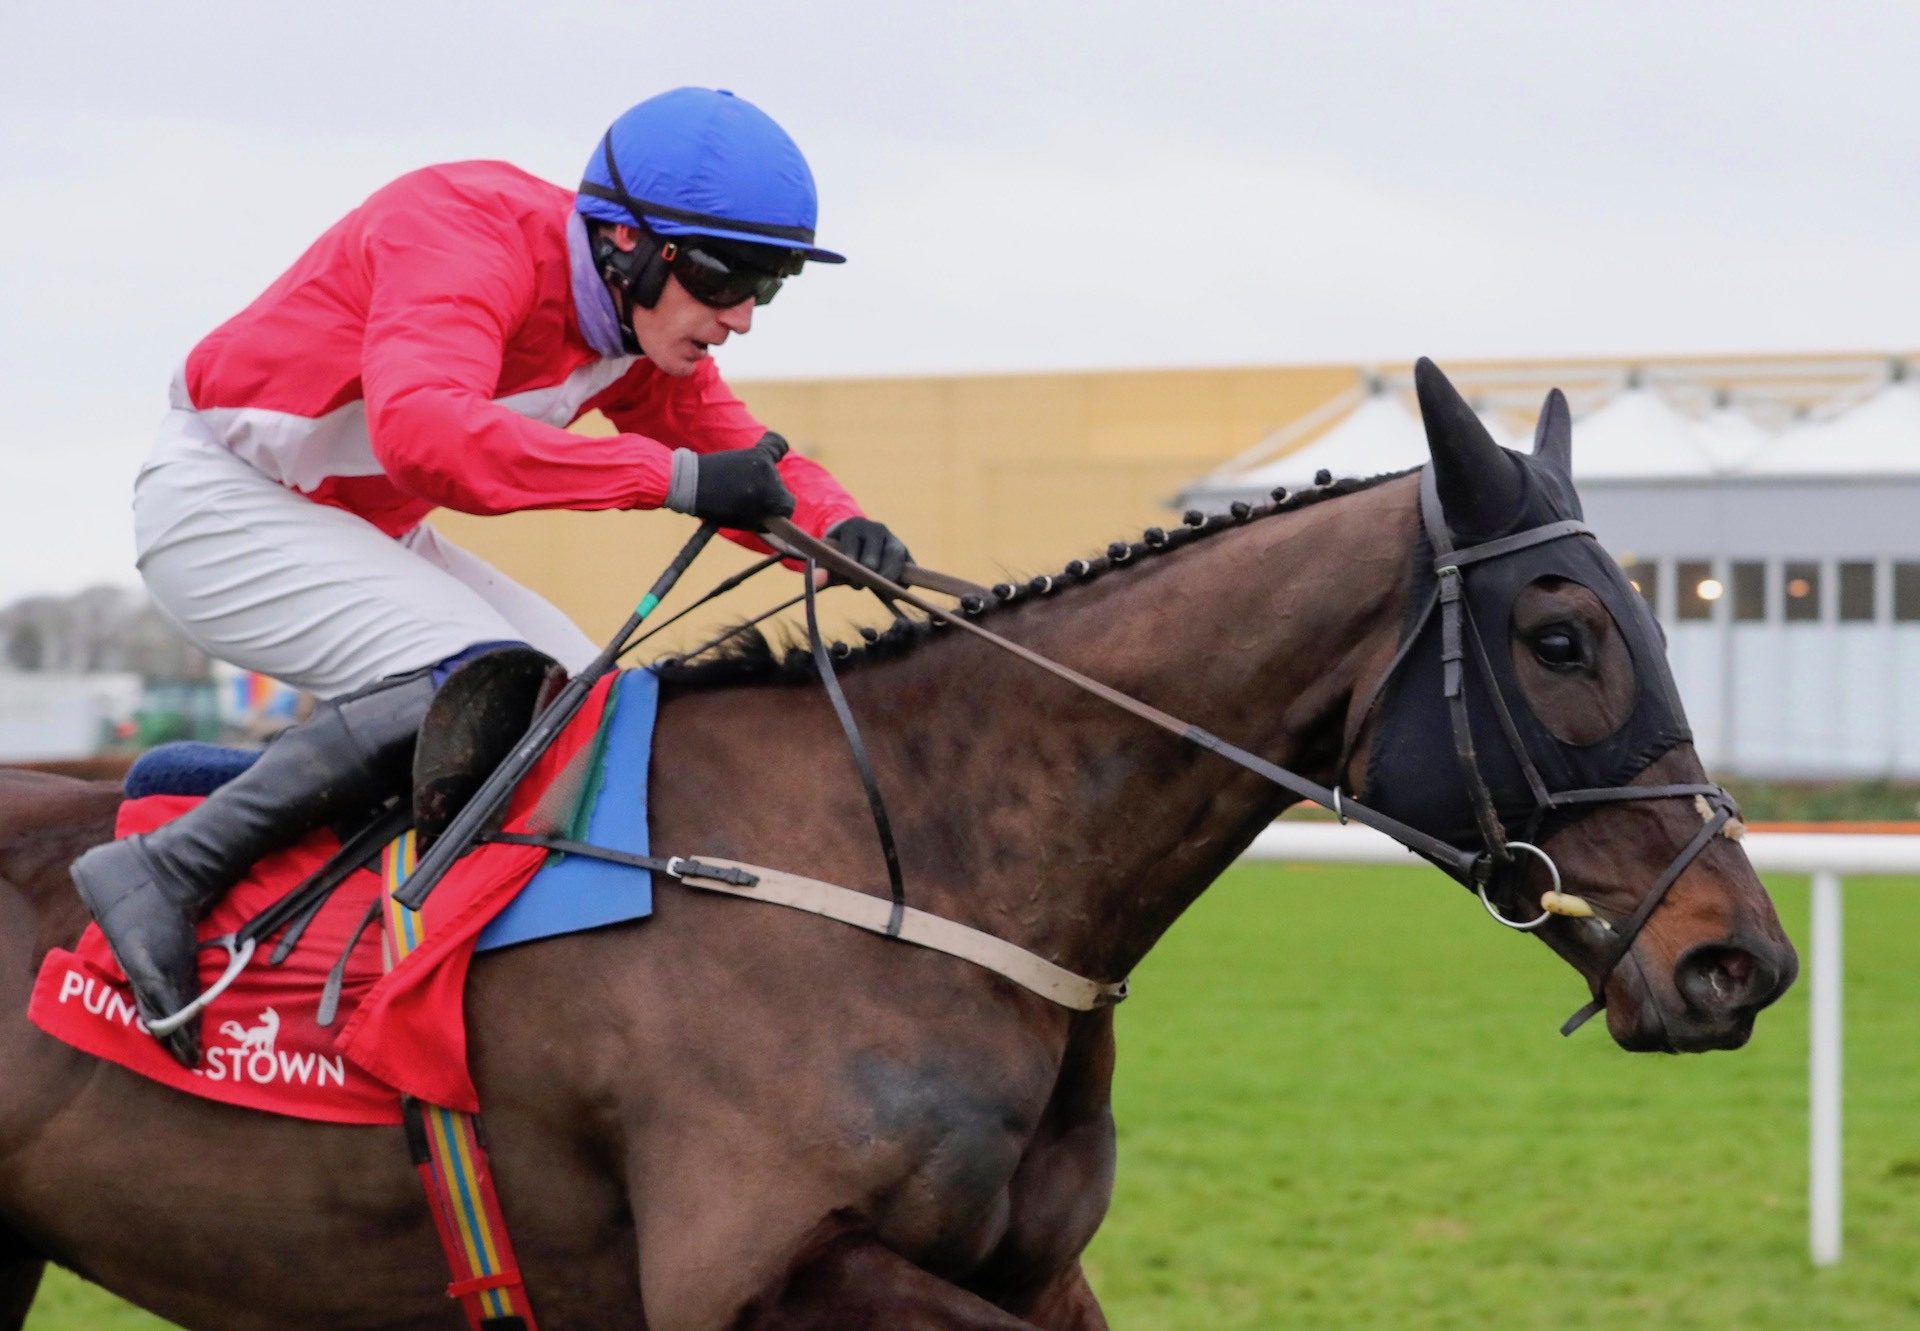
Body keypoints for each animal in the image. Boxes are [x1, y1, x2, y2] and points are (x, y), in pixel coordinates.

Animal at [3, 363, 1797, 1329]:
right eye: (1563, 637)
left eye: (1672, 607)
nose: (1743, 958)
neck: (905, 872)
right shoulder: (747, 1275)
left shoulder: (1032, 1268)